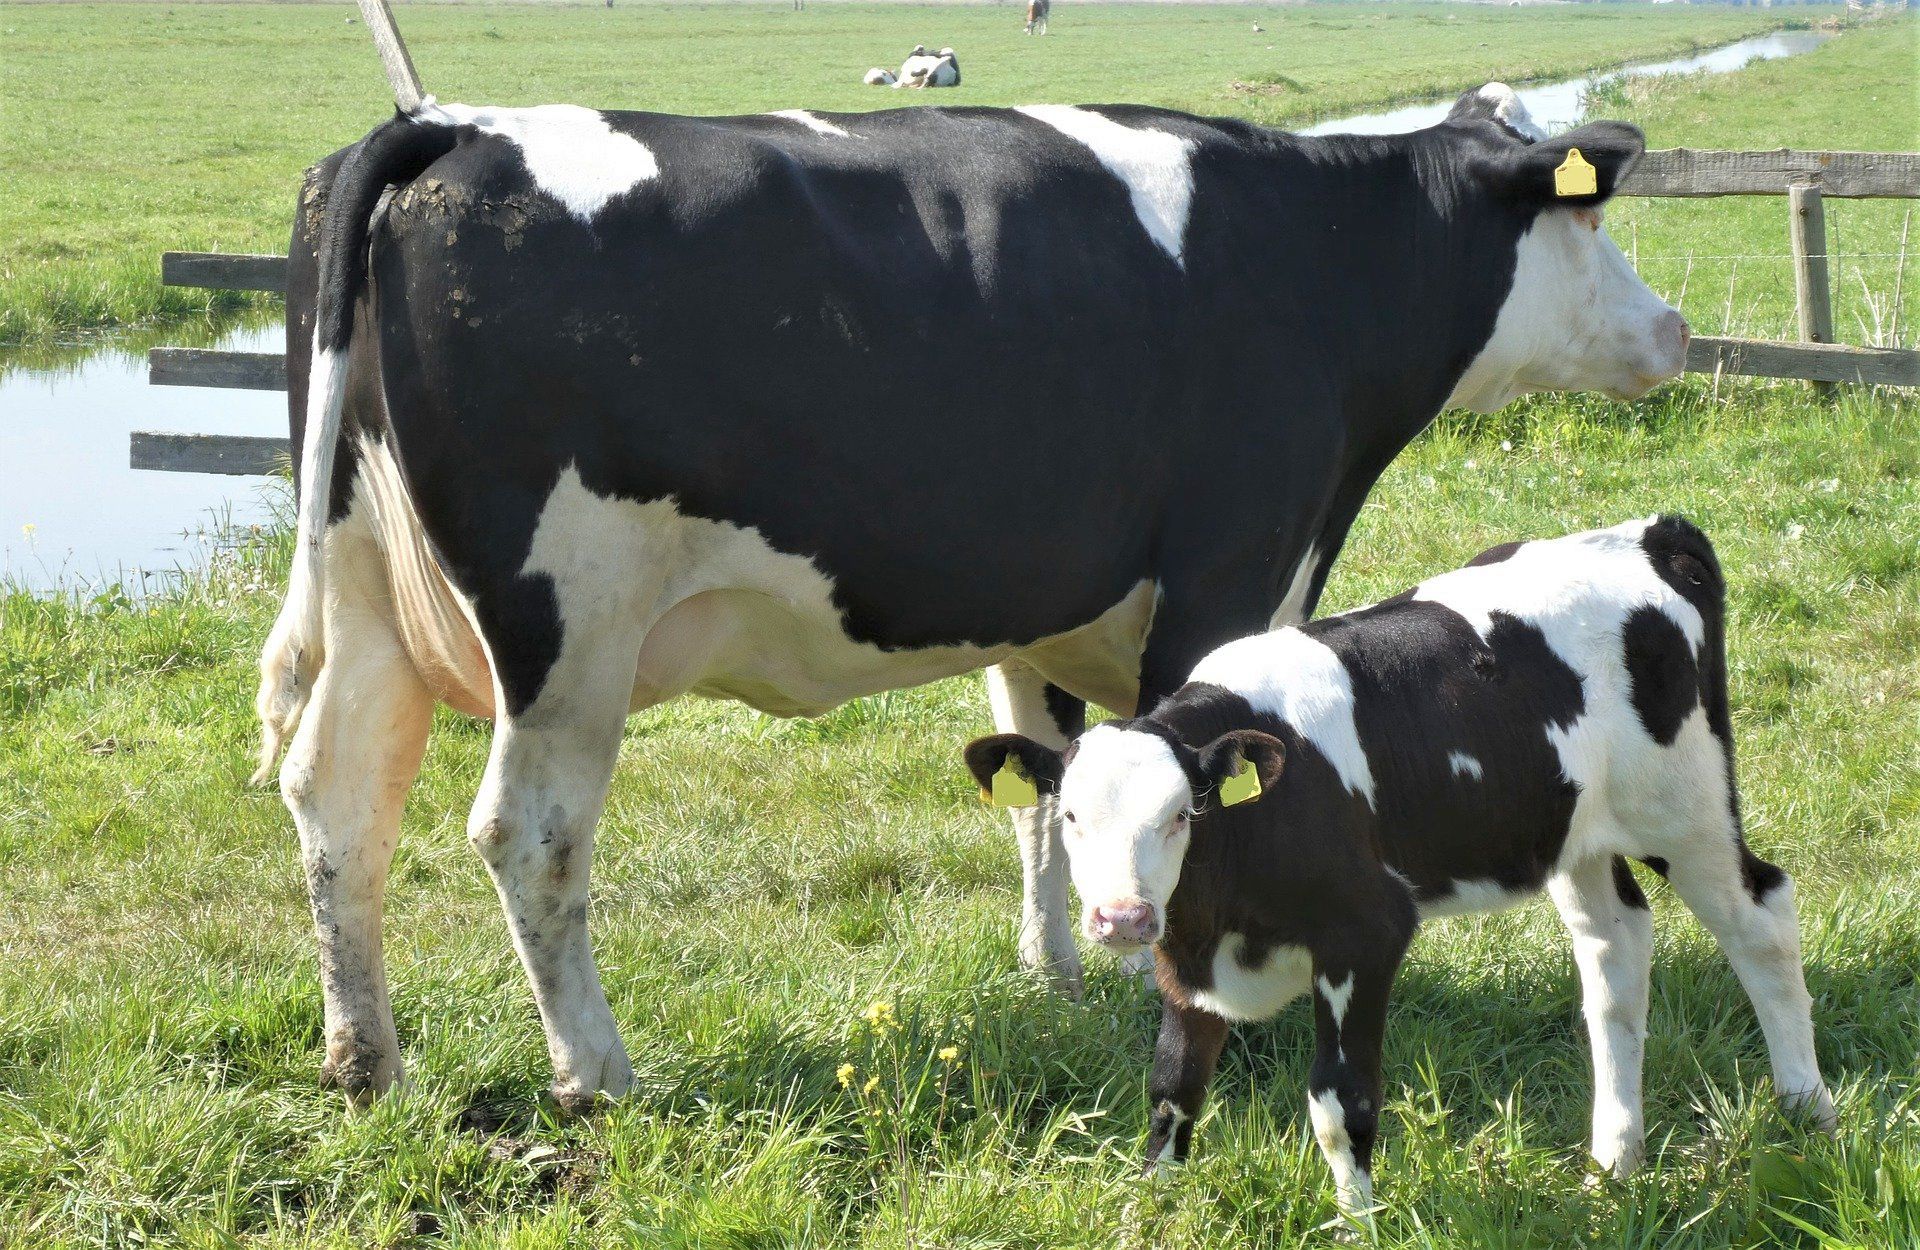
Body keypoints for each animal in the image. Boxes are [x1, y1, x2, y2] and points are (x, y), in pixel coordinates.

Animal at [266, 83, 1681, 1113]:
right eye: (1591, 220)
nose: (1670, 328)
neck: (1319, 258)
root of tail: (455, 127)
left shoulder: (1047, 601)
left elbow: (1054, 784)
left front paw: (1060, 971)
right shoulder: (1231, 569)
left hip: (370, 591)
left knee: (337, 799)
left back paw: (364, 1059)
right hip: (570, 626)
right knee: (529, 833)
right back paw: (597, 1074)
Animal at [967, 514, 1835, 1221]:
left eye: (1182, 813)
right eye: (1070, 818)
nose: (1123, 918)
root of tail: (1650, 534)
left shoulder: (1366, 933)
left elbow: (1338, 1103)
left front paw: (1359, 1225)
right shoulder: (1187, 960)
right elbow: (1172, 1093)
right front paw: (1152, 1214)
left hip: (1687, 808)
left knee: (1762, 920)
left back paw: (1809, 1113)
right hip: (1574, 834)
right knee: (1616, 951)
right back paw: (1614, 1164)